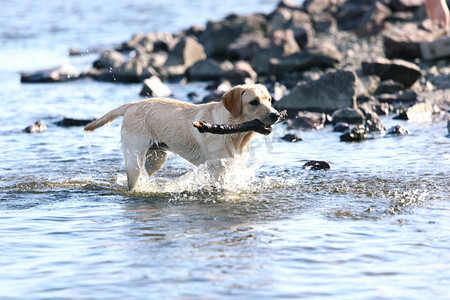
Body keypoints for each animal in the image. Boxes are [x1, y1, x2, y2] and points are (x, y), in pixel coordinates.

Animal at [84, 83, 282, 189]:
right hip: (135, 159)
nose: (276, 115)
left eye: (269, 99)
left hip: (156, 158)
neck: (237, 134)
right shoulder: (217, 170)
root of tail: (132, 105)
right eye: (254, 102)